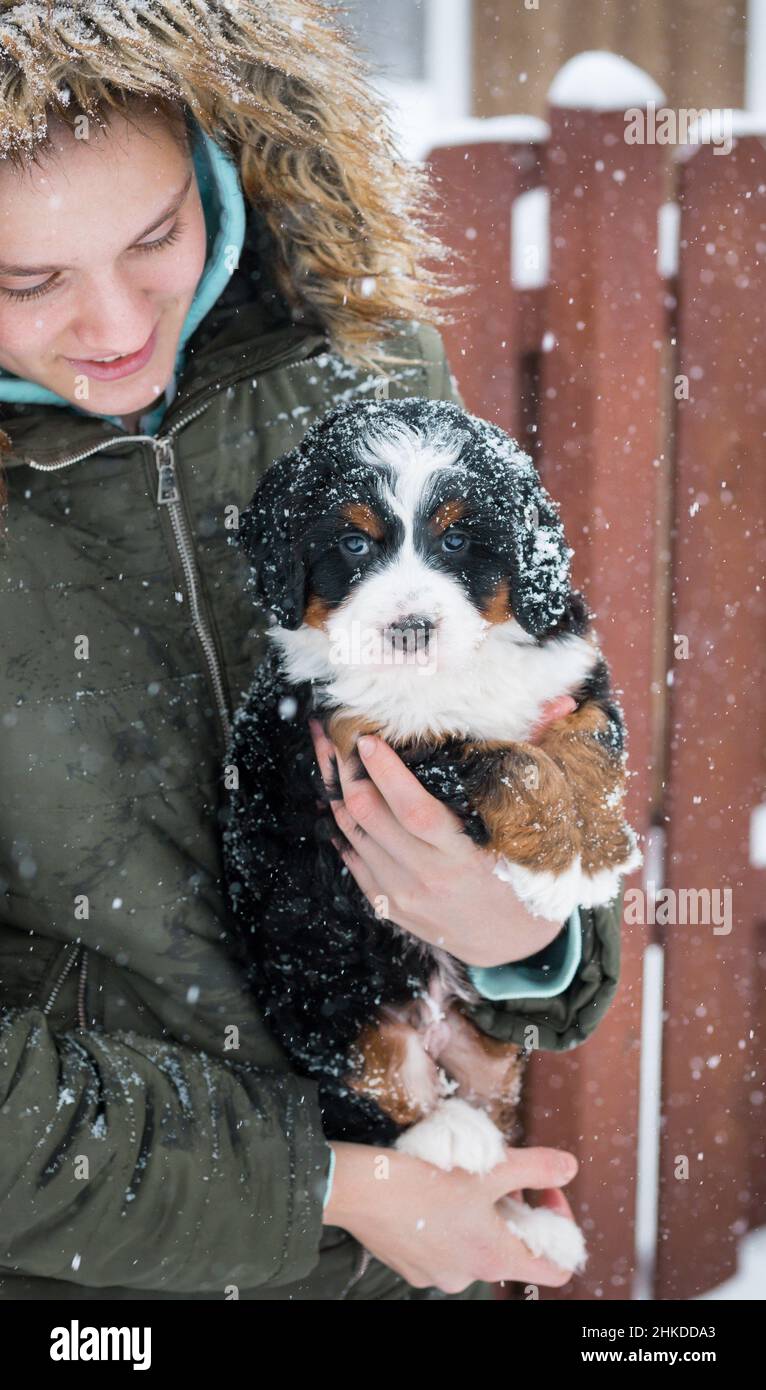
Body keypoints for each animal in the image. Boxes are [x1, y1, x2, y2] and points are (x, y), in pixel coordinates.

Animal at [223, 394, 642, 1273]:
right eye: (353, 544)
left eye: (457, 541)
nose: (410, 626)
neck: (453, 672)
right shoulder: (368, 745)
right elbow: (505, 760)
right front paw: (557, 861)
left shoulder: (573, 672)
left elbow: (585, 743)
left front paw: (597, 850)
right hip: (321, 993)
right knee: (374, 1098)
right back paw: (449, 1139)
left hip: (492, 1056)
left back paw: (531, 1223)